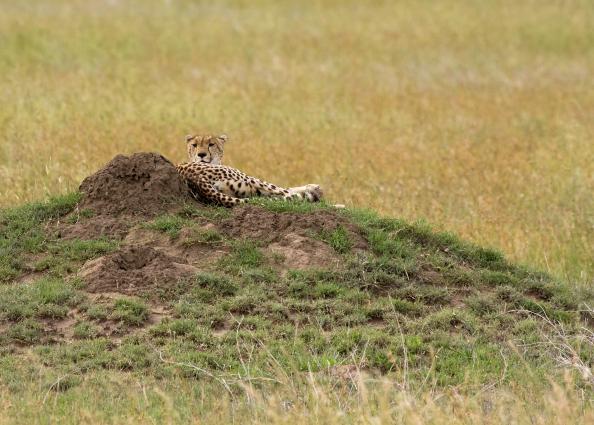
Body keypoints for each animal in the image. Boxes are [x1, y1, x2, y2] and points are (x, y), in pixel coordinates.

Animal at [175, 132, 322, 205]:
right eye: (194, 145)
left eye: (211, 144)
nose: (201, 154)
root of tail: (194, 179)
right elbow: (287, 190)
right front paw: (312, 188)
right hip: (251, 179)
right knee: (288, 194)